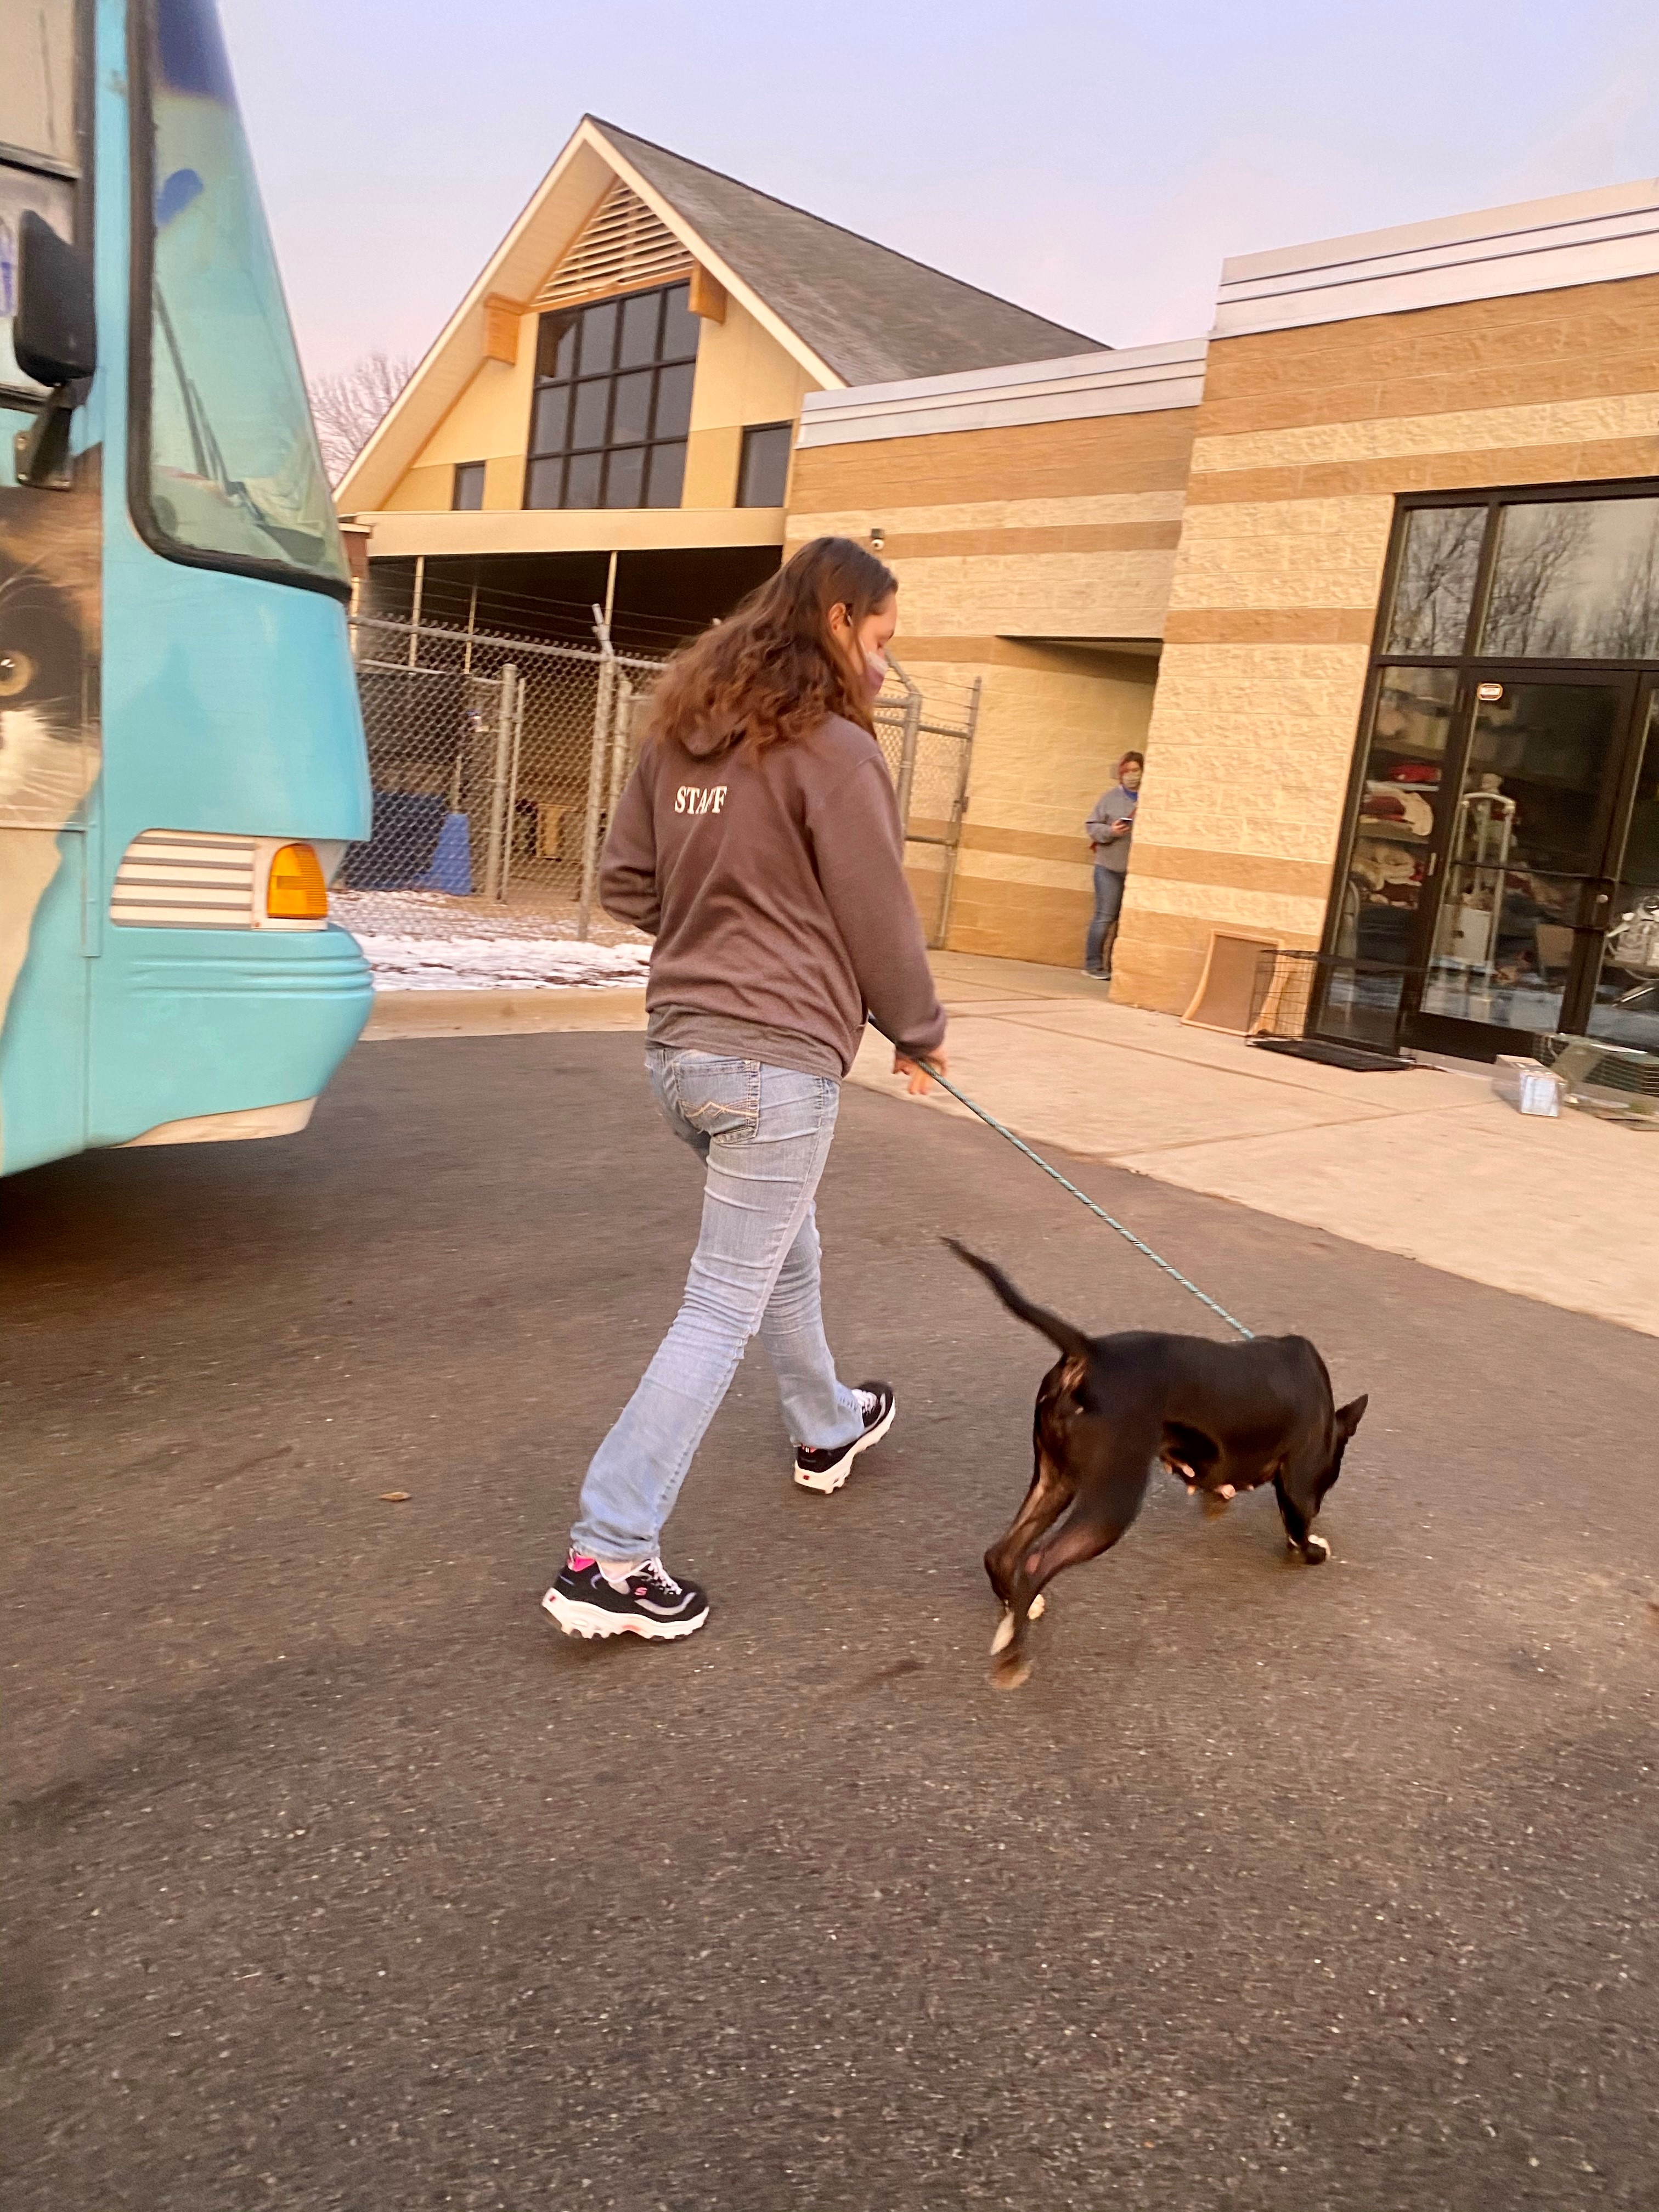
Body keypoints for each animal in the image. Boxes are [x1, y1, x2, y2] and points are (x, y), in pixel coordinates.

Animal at [948, 1241, 1367, 1688]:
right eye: (1331, 1473)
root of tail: (1091, 1352)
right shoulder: (1300, 1489)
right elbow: (1300, 1534)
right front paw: (1314, 1550)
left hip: (1056, 1478)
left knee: (1002, 1554)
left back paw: (1017, 1614)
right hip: (1113, 1500)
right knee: (1036, 1562)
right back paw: (1013, 1657)